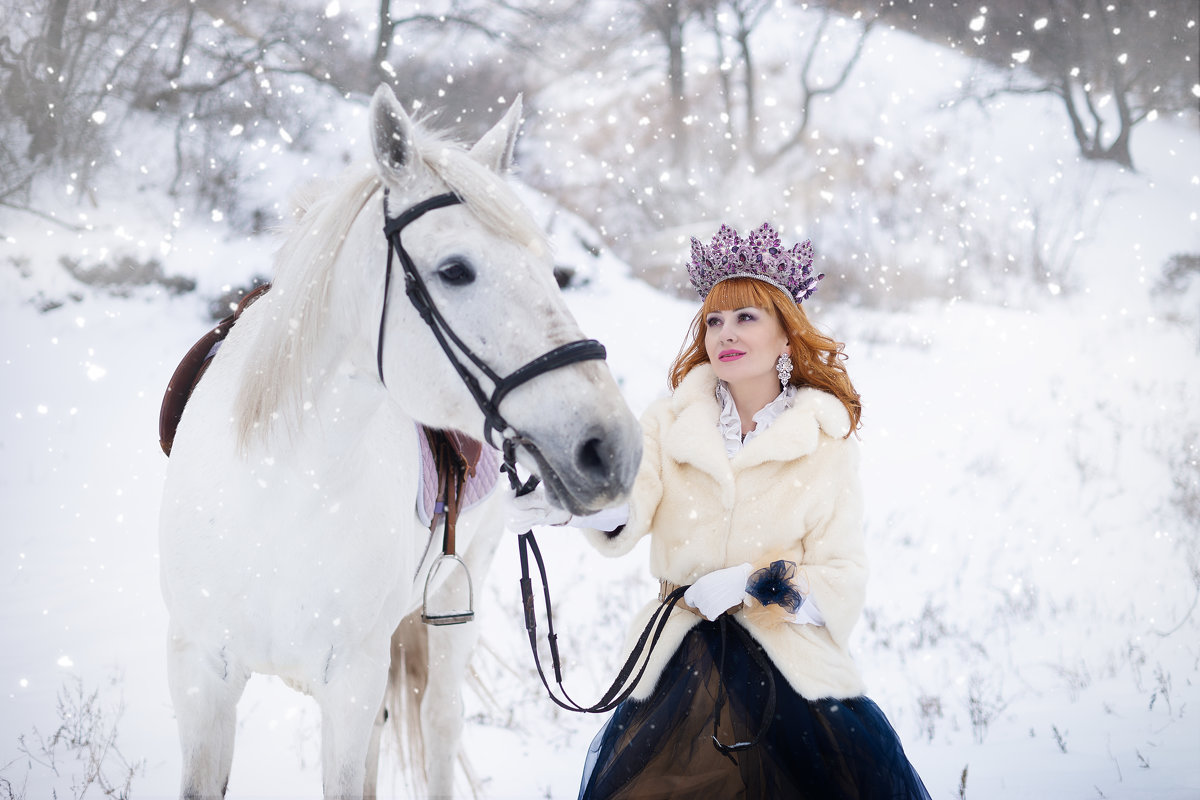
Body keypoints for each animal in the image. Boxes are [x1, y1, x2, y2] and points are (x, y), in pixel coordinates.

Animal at [166, 84, 648, 796]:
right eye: (455, 270)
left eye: (549, 268)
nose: (612, 445)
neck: (278, 500)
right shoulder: (201, 679)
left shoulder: (350, 685)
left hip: (452, 602)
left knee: (441, 723)